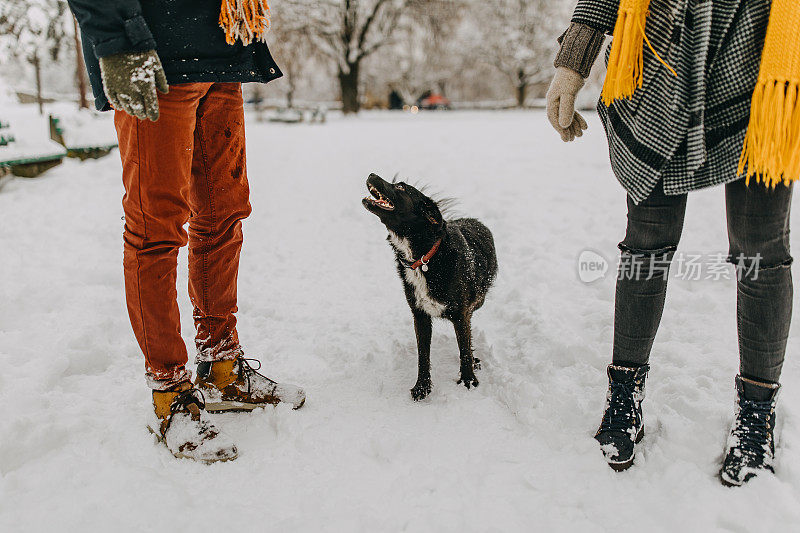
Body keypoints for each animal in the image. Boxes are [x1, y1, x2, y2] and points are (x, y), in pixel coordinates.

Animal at [360, 174, 494, 400]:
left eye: (401, 187)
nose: (371, 174)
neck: (424, 257)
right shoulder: (420, 314)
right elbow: (423, 355)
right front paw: (422, 387)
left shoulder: (461, 314)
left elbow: (464, 349)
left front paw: (468, 380)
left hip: (478, 301)